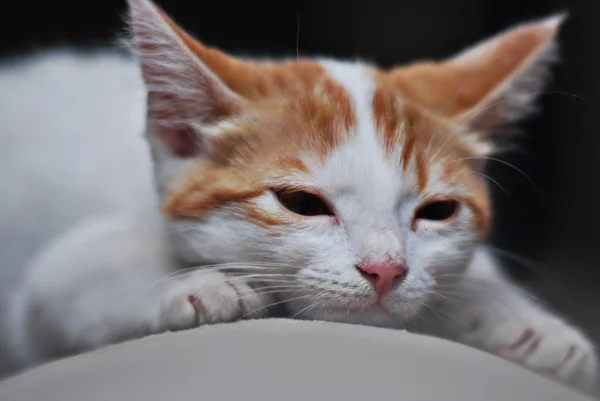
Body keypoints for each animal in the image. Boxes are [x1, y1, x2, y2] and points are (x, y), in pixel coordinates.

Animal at [1, 0, 596, 390]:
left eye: (438, 211)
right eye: (303, 204)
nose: (385, 270)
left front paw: (524, 321)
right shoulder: (44, 291)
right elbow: (70, 281)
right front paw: (197, 286)